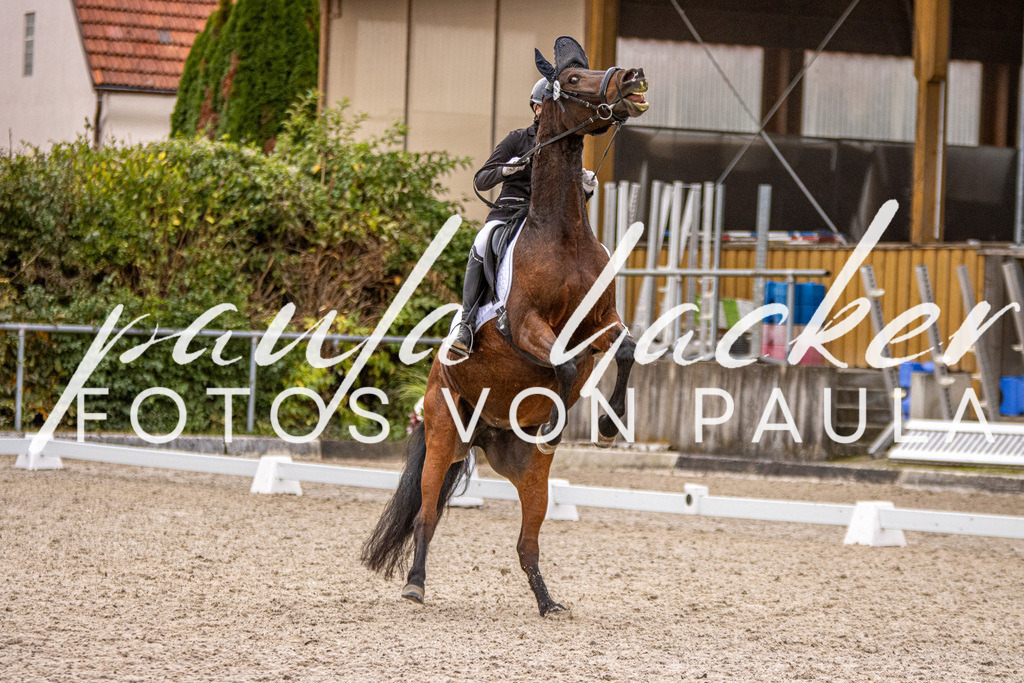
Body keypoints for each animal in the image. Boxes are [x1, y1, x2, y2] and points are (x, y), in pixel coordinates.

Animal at [362, 36, 649, 616]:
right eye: (575, 79)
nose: (631, 78)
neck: (563, 233)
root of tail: (485, 434)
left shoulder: (600, 322)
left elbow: (626, 349)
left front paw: (609, 425)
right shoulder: (527, 329)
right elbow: (563, 365)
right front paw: (565, 416)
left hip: (527, 474)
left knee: (526, 542)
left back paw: (547, 602)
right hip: (443, 438)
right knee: (427, 515)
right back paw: (415, 585)